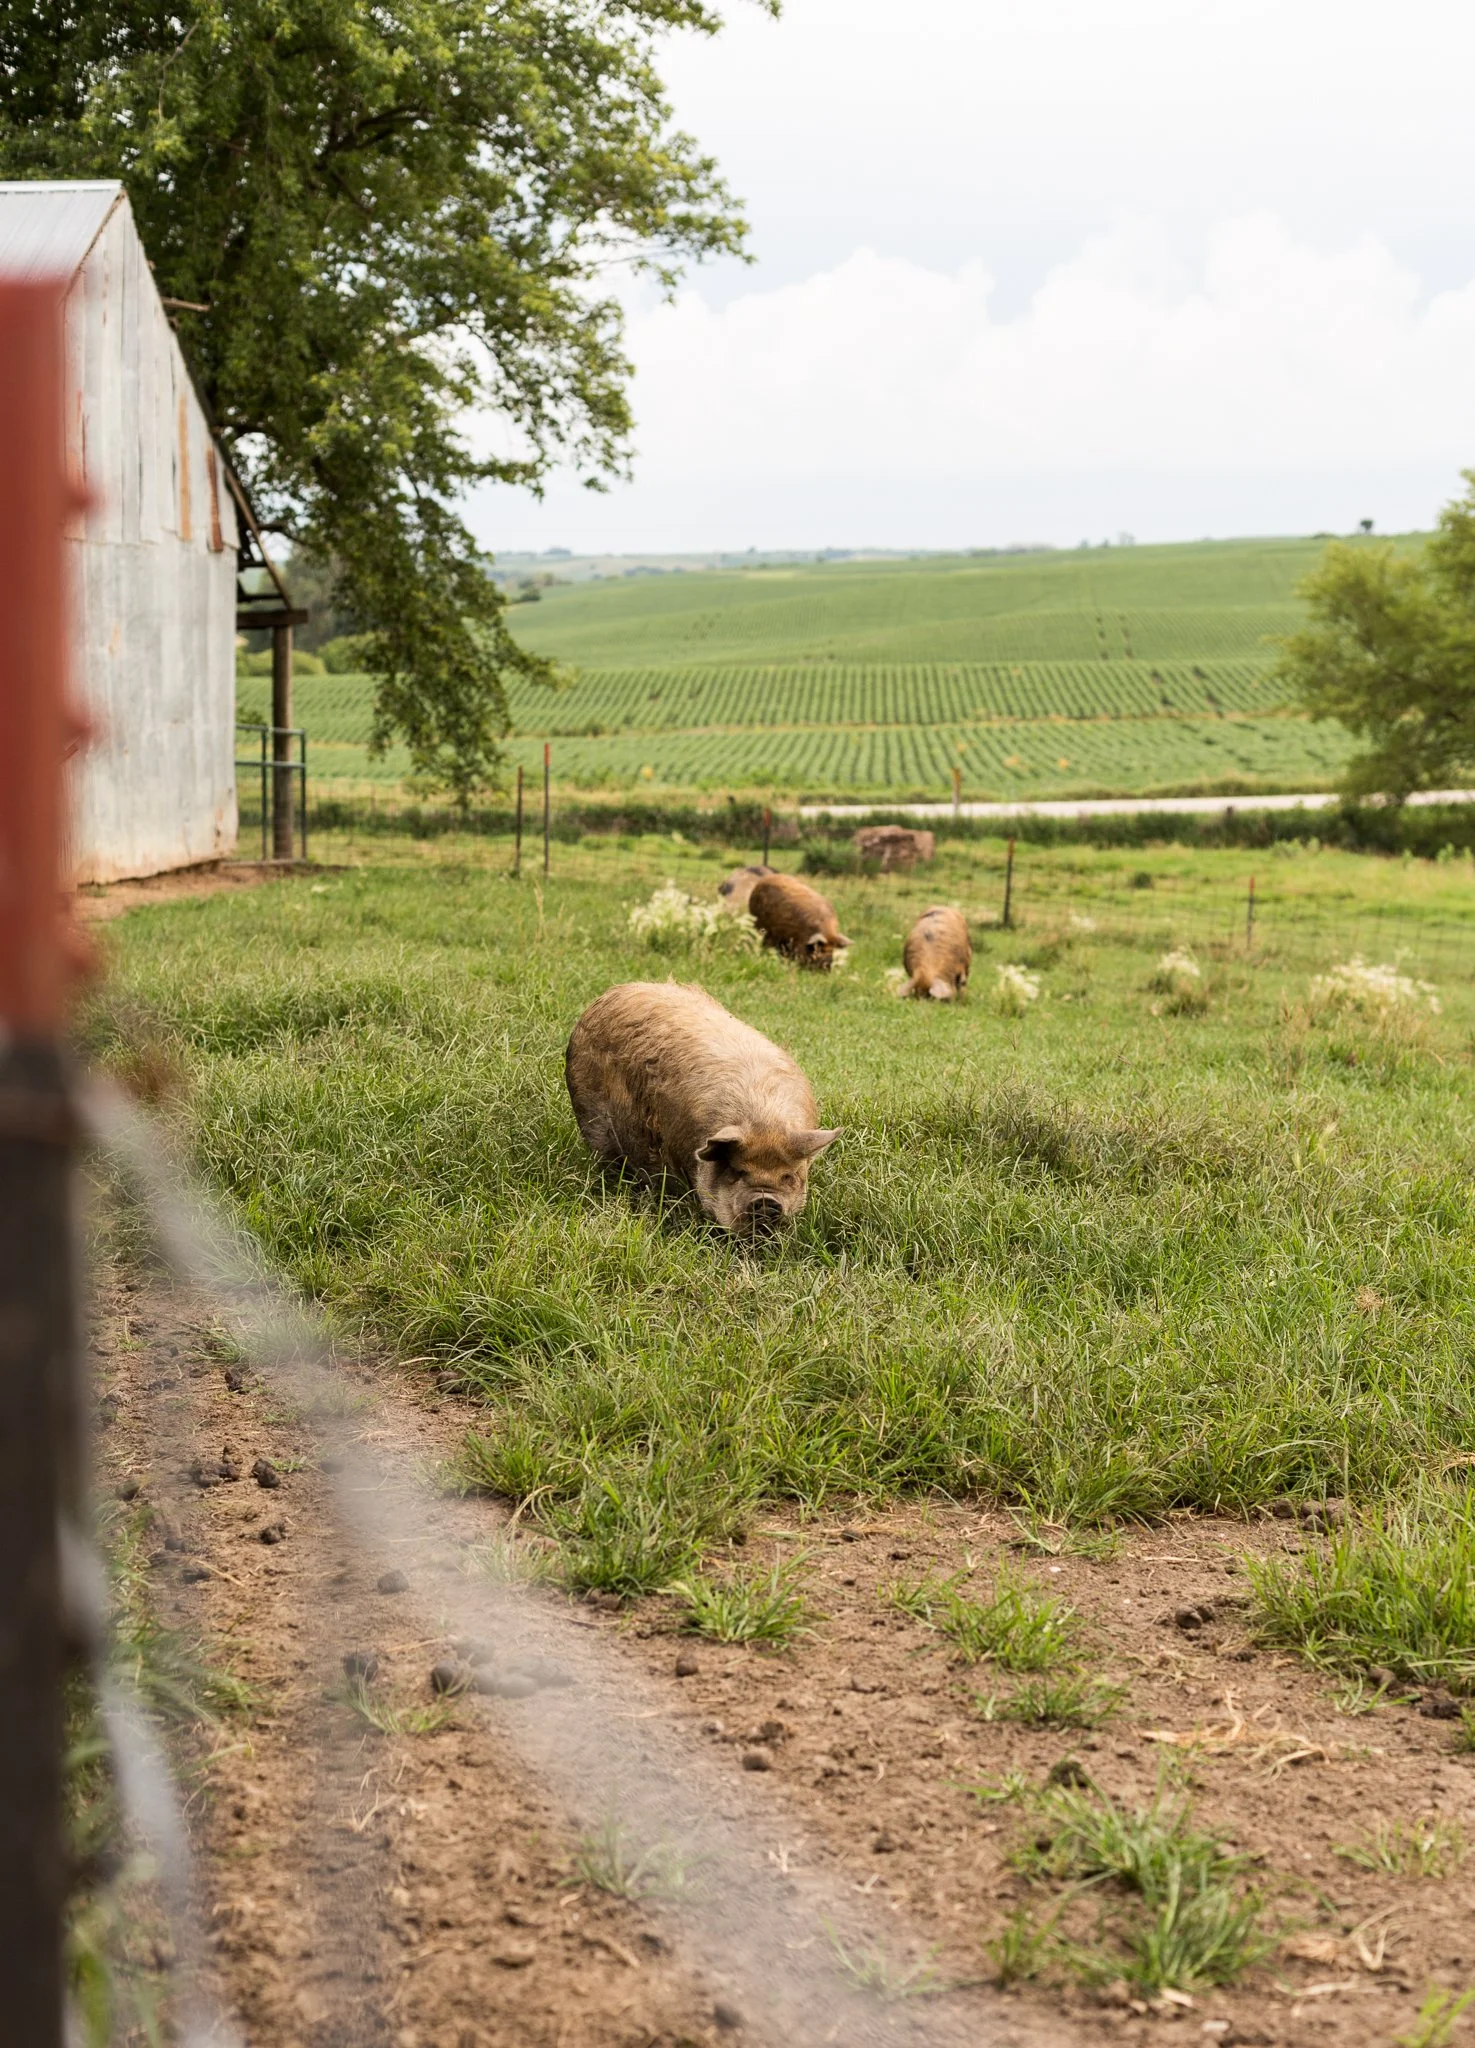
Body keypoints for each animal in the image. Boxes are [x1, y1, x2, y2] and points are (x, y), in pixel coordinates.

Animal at [565, 981, 839, 1234]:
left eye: (788, 1176)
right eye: (738, 1171)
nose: (766, 1201)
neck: (764, 1119)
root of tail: (607, 995)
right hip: (591, 1119)